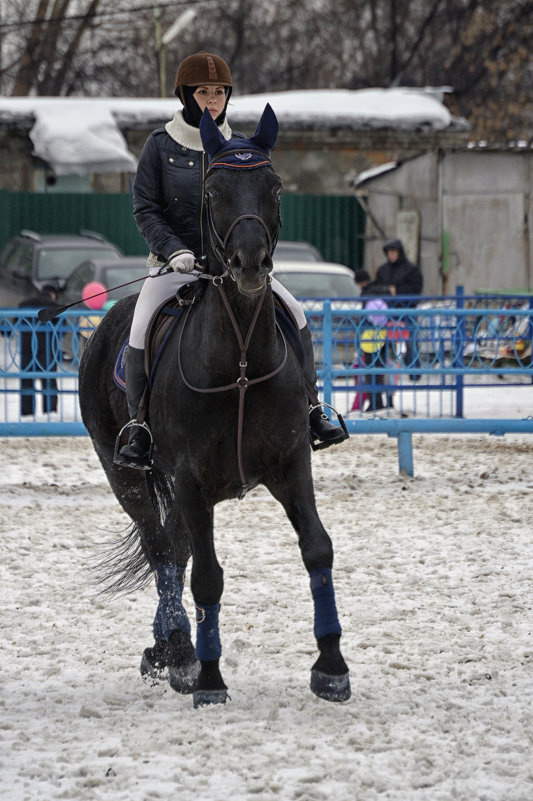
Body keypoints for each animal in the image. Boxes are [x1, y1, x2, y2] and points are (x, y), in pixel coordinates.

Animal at [76, 104, 350, 708]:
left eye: (274, 187)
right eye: (212, 191)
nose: (250, 264)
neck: (241, 357)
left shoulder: (291, 463)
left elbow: (317, 550)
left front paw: (332, 666)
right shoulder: (190, 478)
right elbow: (206, 575)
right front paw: (208, 678)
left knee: (173, 549)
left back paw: (168, 647)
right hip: (125, 473)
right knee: (162, 550)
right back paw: (179, 651)